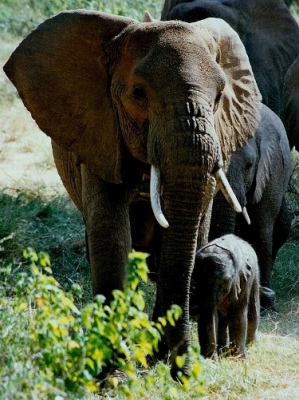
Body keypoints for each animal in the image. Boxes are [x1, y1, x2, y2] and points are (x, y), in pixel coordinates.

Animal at [4, 10, 262, 378]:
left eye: (218, 97)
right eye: (139, 94)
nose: (184, 374)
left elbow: (190, 237)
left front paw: (157, 359)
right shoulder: (99, 133)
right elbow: (112, 237)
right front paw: (114, 374)